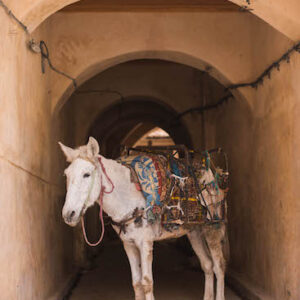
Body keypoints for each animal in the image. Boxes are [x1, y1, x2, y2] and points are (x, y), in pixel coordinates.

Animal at [58, 137, 229, 298]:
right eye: (66, 175)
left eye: (86, 174)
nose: (68, 214)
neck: (128, 197)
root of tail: (213, 173)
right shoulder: (128, 244)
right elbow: (136, 282)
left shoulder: (145, 243)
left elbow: (147, 283)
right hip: (194, 231)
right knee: (207, 264)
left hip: (212, 227)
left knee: (219, 266)